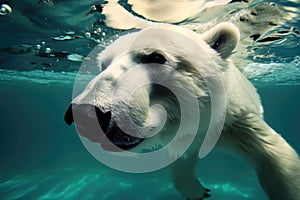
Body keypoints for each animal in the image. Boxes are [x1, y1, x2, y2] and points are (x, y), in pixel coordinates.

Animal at [65, 22, 300, 199]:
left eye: (156, 57)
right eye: (103, 65)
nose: (86, 114)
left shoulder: (234, 122)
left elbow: (275, 155)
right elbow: (182, 161)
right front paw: (197, 191)